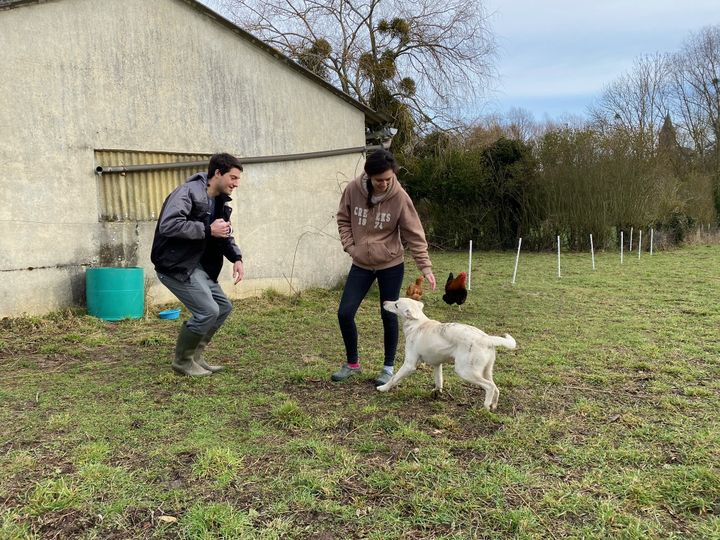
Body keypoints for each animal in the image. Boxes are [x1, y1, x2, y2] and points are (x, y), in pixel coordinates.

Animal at [376, 300, 516, 410]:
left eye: (396, 305)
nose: (384, 302)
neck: (418, 325)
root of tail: (486, 339)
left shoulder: (409, 364)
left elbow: (394, 378)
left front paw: (383, 388)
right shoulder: (437, 365)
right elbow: (439, 381)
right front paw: (436, 394)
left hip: (465, 371)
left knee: (490, 387)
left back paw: (486, 406)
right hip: (486, 371)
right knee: (496, 388)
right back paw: (493, 405)